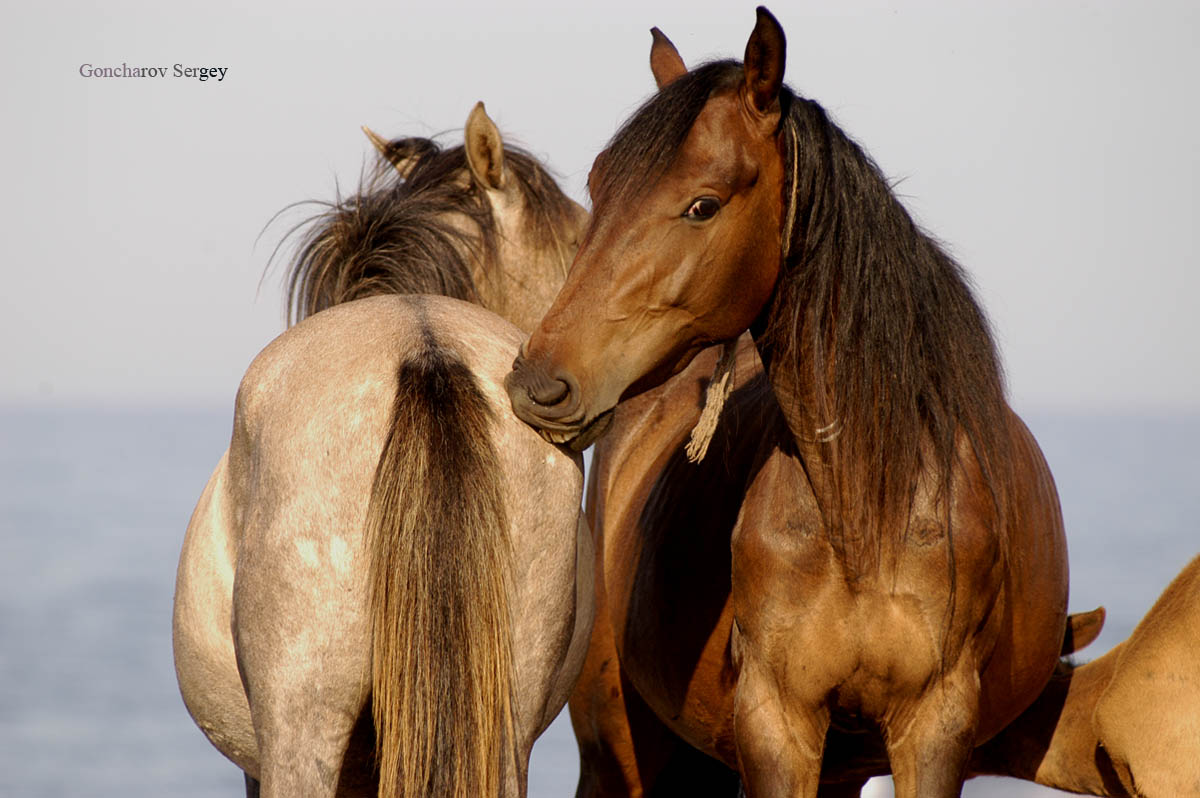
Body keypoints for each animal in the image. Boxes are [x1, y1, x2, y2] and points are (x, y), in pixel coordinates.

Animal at [506, 12, 1070, 796]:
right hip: (618, 747)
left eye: (703, 205)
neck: (867, 510)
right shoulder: (778, 723)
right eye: (598, 186)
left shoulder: (935, 727)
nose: (540, 382)